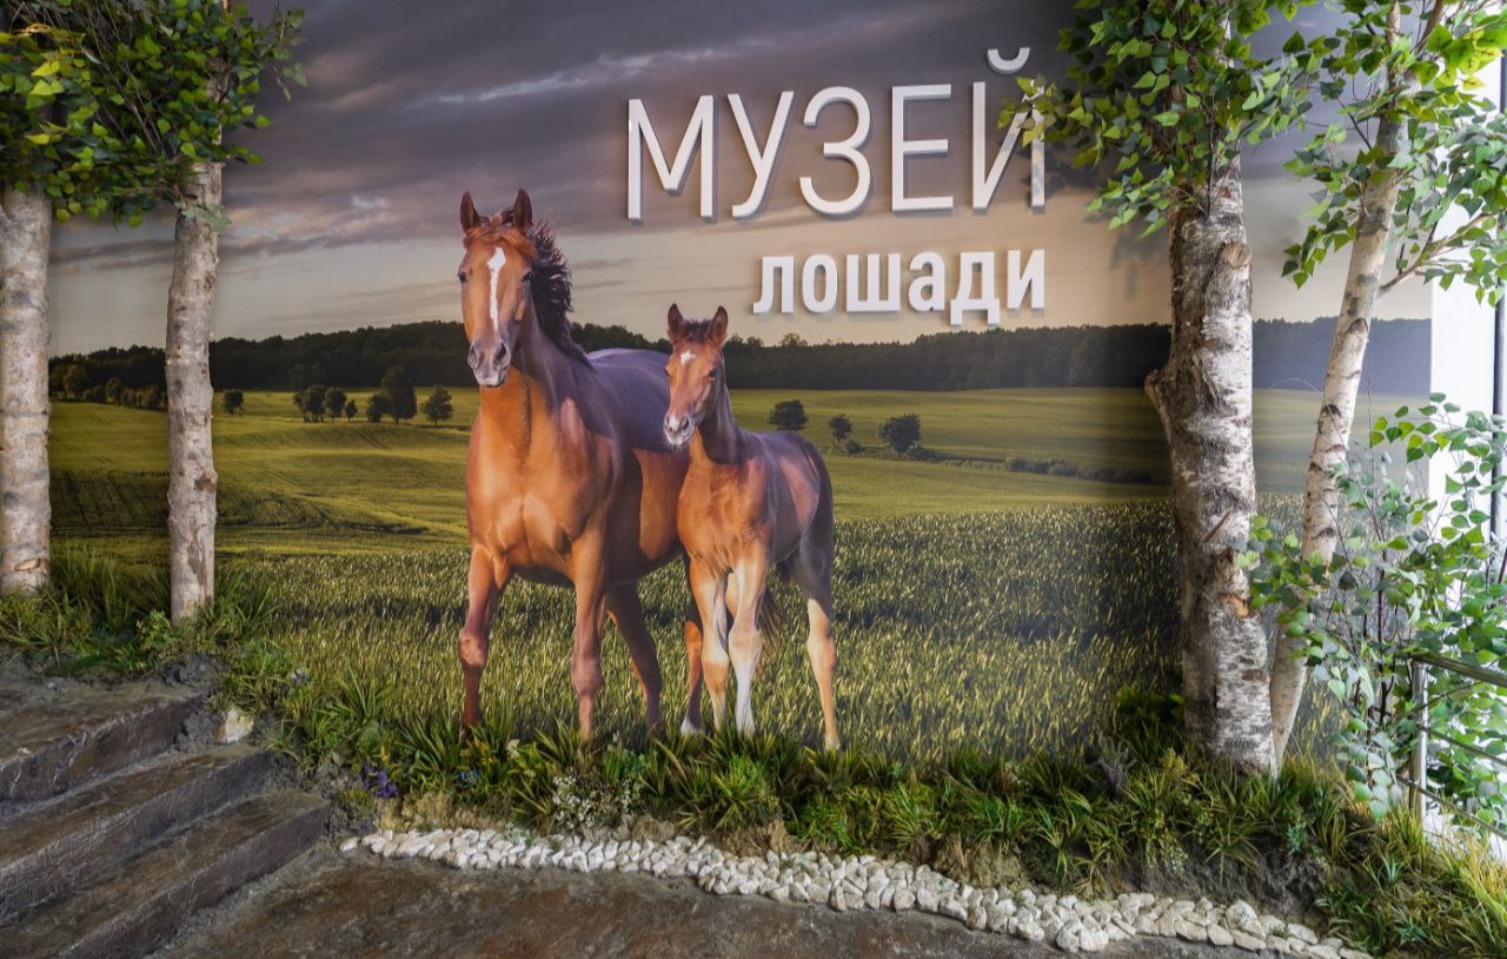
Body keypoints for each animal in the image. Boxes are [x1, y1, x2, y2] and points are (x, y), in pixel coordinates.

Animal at [455, 189, 706, 739]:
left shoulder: (589, 561)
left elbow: (586, 667)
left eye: (527, 276)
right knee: (647, 660)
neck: (525, 444)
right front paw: (470, 736)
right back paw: (654, 738)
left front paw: (586, 751)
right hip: (621, 582)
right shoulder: (486, 556)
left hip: (689, 564)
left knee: (701, 643)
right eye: (464, 274)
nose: (489, 357)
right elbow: (473, 647)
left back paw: (690, 730)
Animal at [661, 305, 840, 750]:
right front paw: (719, 734)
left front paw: (746, 732)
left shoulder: (752, 560)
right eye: (669, 370)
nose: (675, 427)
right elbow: (715, 653)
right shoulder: (705, 568)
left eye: (712, 372)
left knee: (820, 647)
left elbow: (744, 643)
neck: (719, 476)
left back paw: (832, 744)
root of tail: (805, 448)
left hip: (812, 567)